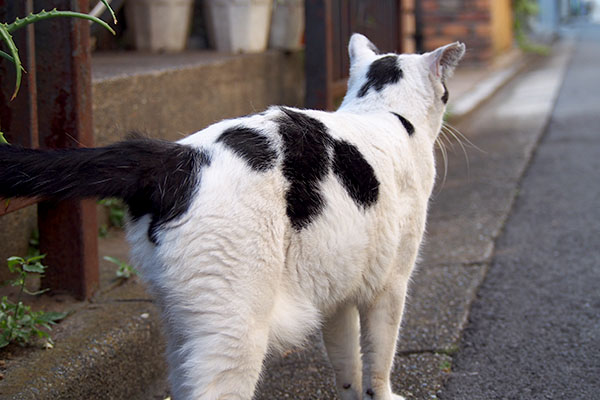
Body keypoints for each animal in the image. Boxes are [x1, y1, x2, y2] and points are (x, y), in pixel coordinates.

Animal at [0, 34, 464, 400]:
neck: (384, 114)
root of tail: (174, 157)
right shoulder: (391, 286)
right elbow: (379, 360)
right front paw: (383, 395)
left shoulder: (337, 296)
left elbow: (347, 363)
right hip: (235, 327)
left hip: (182, 327)